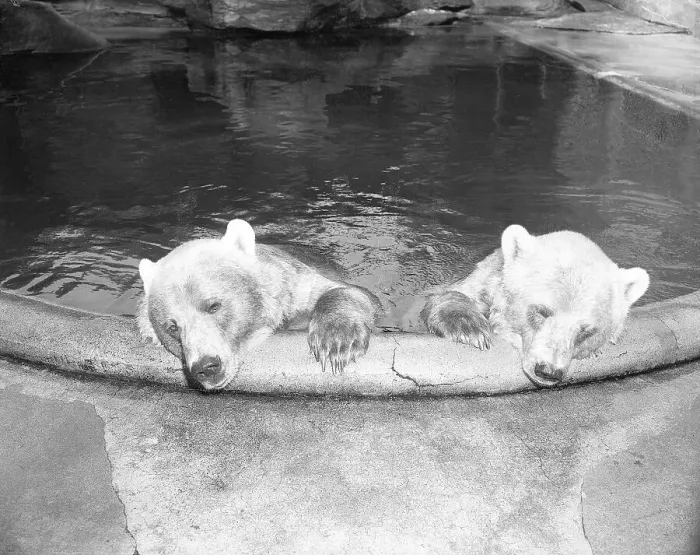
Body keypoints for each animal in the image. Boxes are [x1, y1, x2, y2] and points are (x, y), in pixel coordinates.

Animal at [138, 219, 383, 392]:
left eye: (213, 305)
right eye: (172, 327)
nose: (206, 367)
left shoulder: (293, 287)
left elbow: (347, 292)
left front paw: (337, 343)